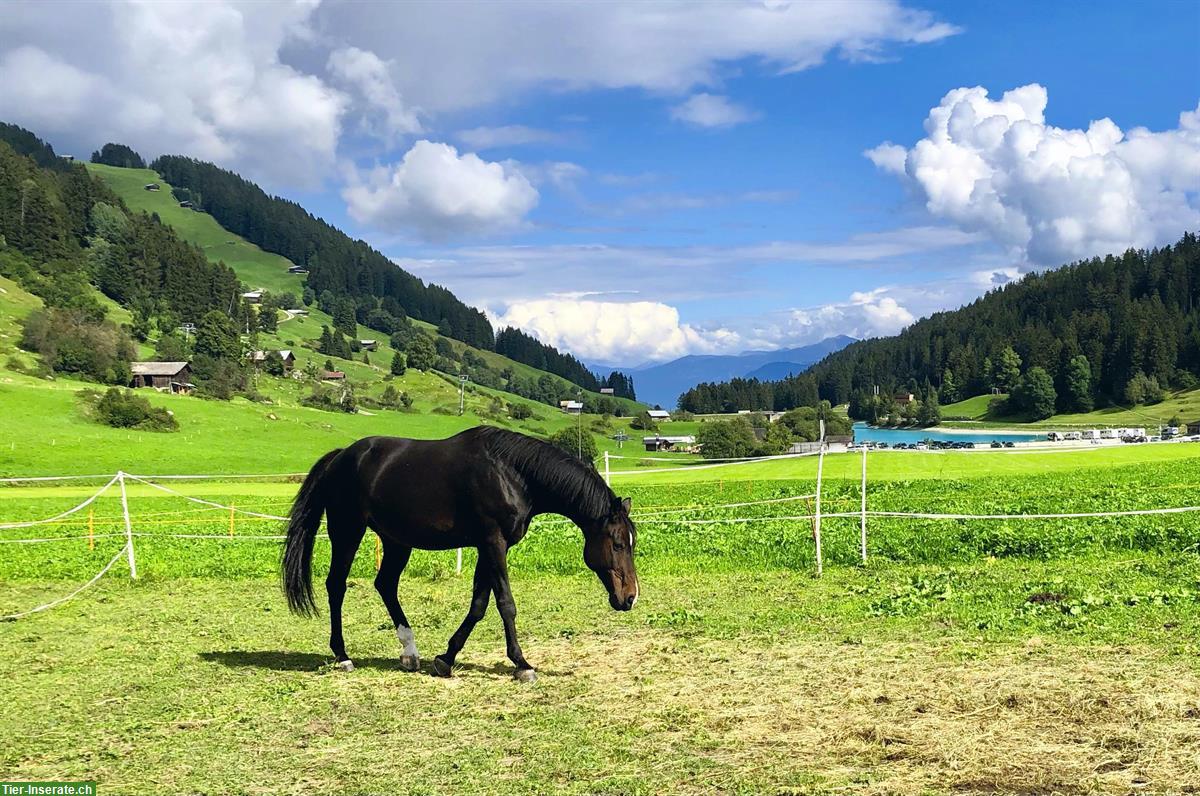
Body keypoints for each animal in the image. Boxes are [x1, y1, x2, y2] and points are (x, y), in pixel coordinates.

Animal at [280, 427, 638, 681]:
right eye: (618, 543)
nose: (630, 597)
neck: (512, 473)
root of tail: (342, 456)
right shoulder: (493, 542)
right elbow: (505, 603)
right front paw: (522, 664)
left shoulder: (488, 546)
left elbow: (479, 604)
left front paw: (445, 659)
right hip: (347, 531)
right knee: (336, 585)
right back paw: (343, 656)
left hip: (396, 540)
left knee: (385, 585)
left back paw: (410, 653)